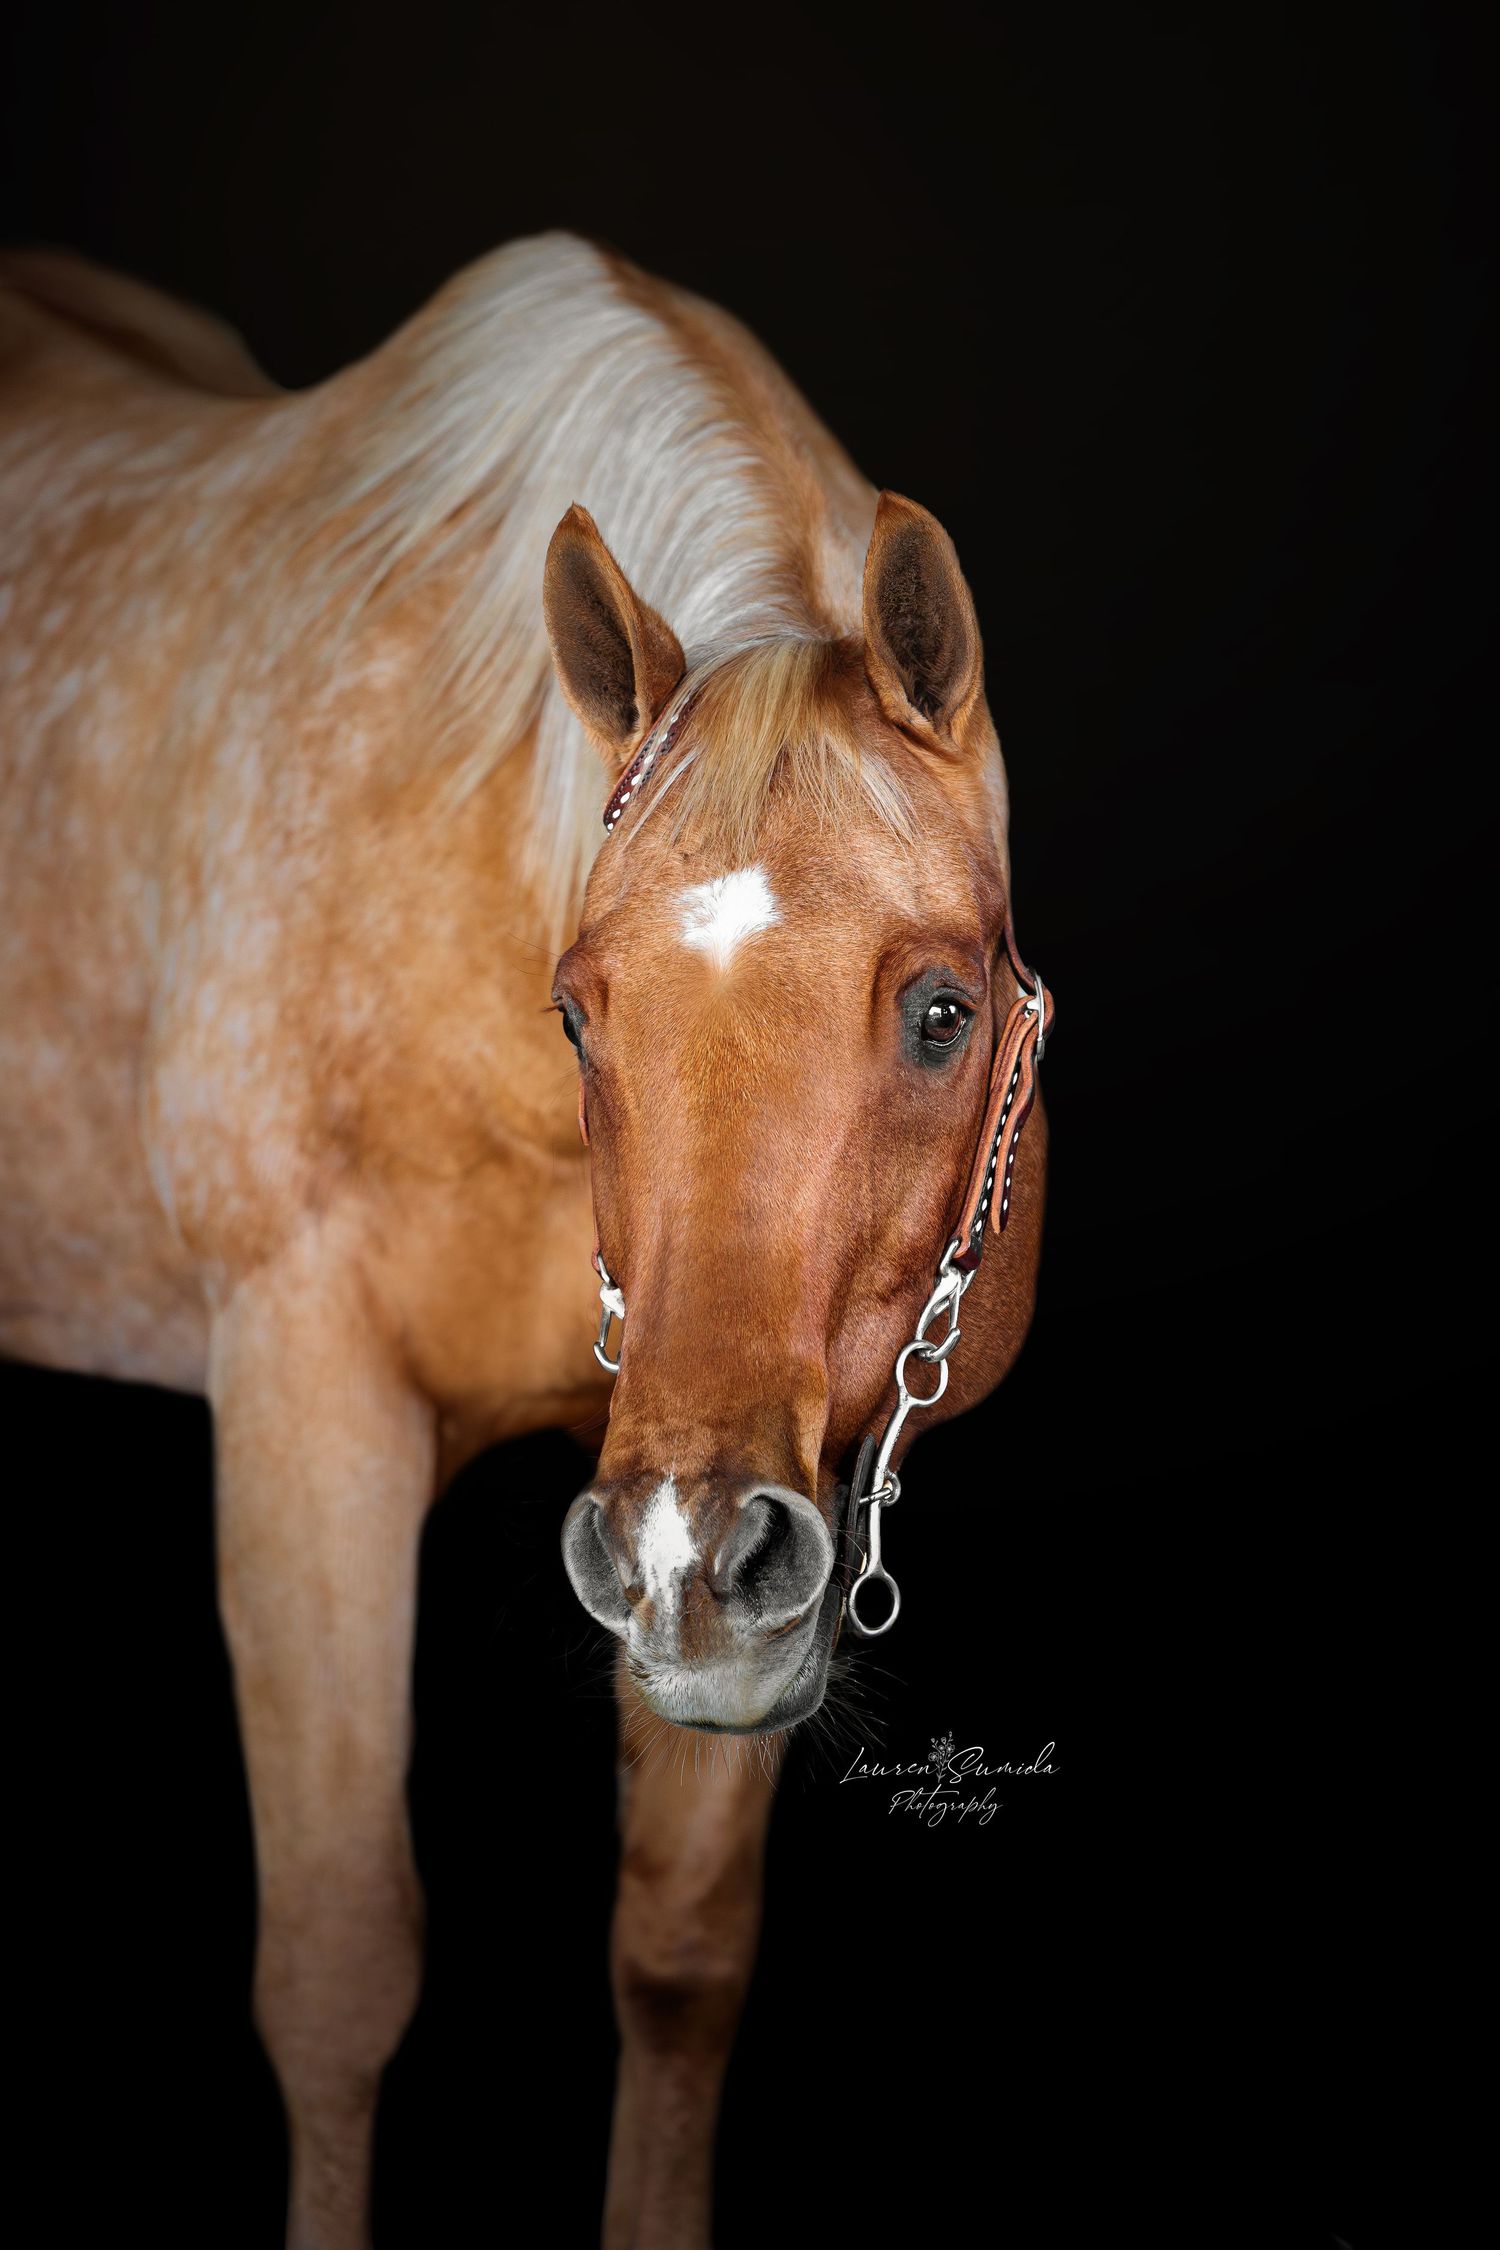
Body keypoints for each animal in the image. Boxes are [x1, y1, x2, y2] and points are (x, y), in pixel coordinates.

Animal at [0, 231, 1050, 2248]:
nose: (690, 1553)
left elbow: (678, 1961)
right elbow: (337, 1975)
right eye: (577, 1010)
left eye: (942, 1010)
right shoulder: (307, 1421)